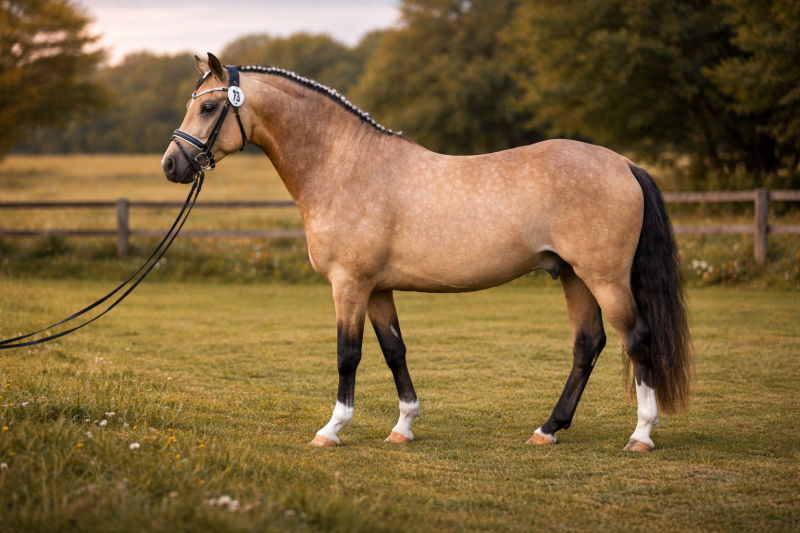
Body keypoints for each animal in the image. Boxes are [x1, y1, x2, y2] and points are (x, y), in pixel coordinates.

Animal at [162, 53, 693, 452]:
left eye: (209, 108)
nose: (171, 165)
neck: (343, 166)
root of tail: (624, 164)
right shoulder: (377, 289)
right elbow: (394, 350)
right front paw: (403, 426)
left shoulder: (349, 284)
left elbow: (348, 354)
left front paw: (332, 429)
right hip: (573, 276)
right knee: (588, 345)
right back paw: (547, 430)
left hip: (604, 278)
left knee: (637, 339)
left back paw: (641, 434)